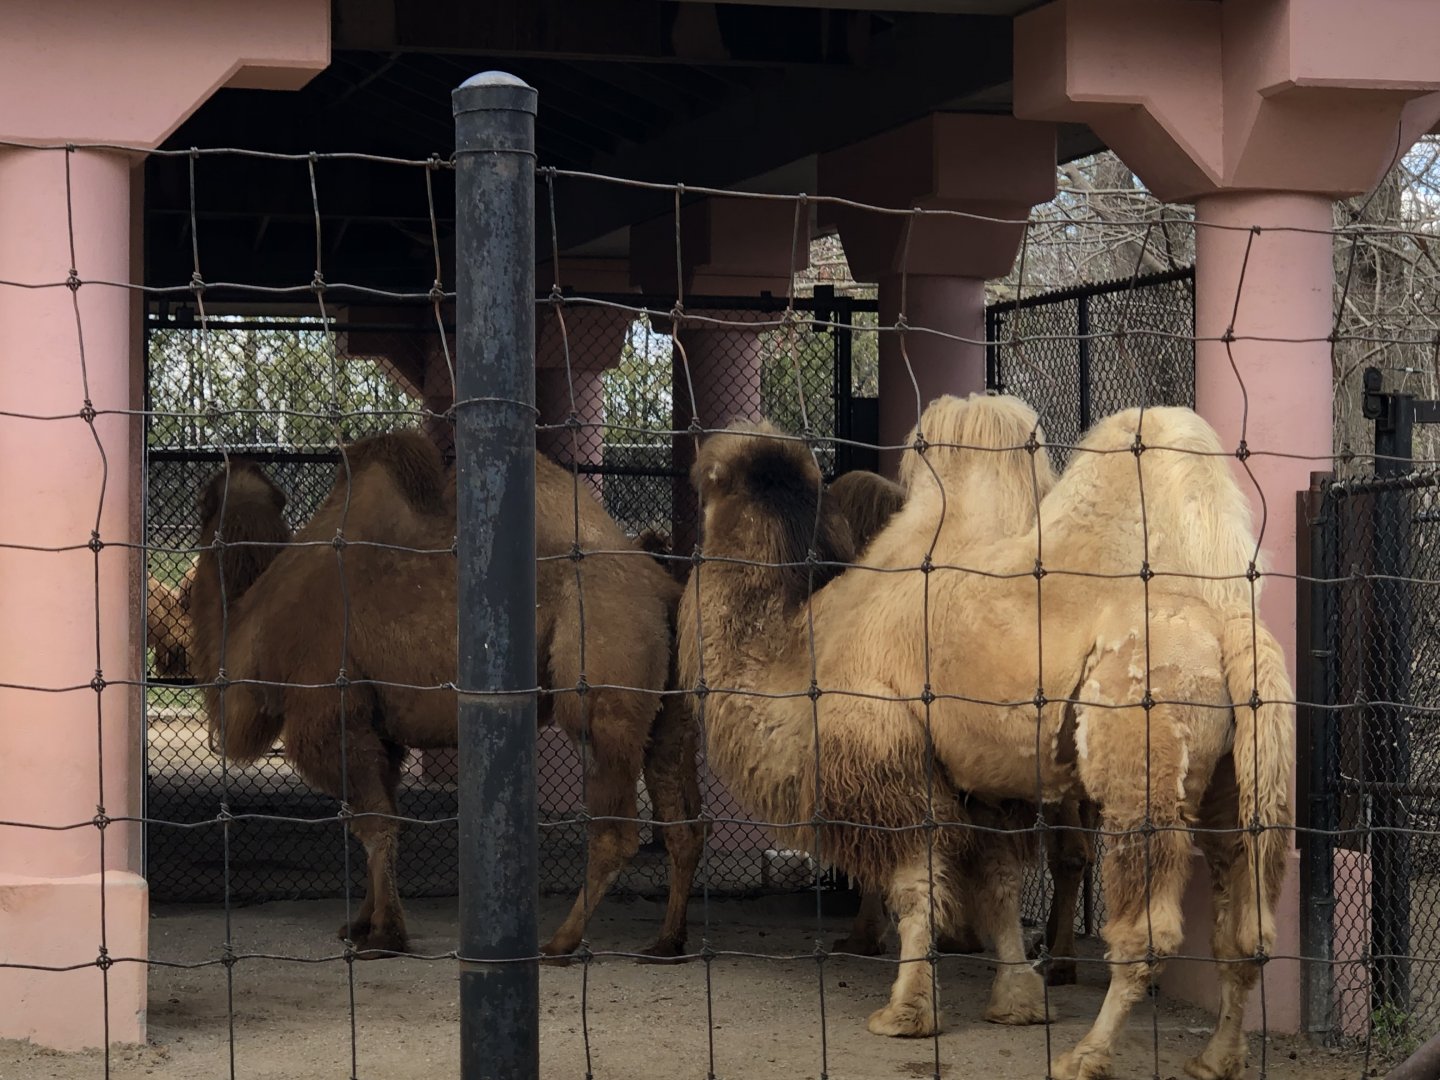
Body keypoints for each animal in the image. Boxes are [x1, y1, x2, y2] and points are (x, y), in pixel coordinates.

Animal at [189, 431, 704, 960]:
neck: (259, 618)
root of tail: (663, 588)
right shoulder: (380, 729)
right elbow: (381, 815)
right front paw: (361, 922)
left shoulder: (326, 715)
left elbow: (374, 823)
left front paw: (385, 935)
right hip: (669, 703)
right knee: (683, 822)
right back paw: (667, 940)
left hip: (603, 668)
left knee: (616, 827)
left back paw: (561, 940)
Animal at [680, 394, 1292, 1080]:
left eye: (701, 482)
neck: (803, 653)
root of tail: (1231, 630)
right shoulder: (983, 786)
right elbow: (996, 886)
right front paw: (1018, 1000)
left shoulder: (892, 761)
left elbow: (916, 889)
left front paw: (906, 1013)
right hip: (1240, 781)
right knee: (1246, 933)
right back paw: (1216, 1058)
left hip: (1144, 759)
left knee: (1149, 931)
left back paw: (1086, 1054)